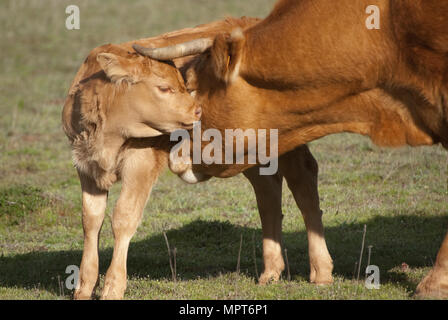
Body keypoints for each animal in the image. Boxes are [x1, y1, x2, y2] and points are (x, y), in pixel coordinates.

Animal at [63, 16, 332, 298]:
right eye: (164, 88)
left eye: (184, 85)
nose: (198, 110)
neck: (108, 135)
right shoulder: (86, 170)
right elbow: (91, 220)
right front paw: (83, 287)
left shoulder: (140, 166)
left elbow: (124, 217)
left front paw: (113, 287)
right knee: (267, 189)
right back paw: (270, 272)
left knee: (303, 180)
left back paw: (321, 271)